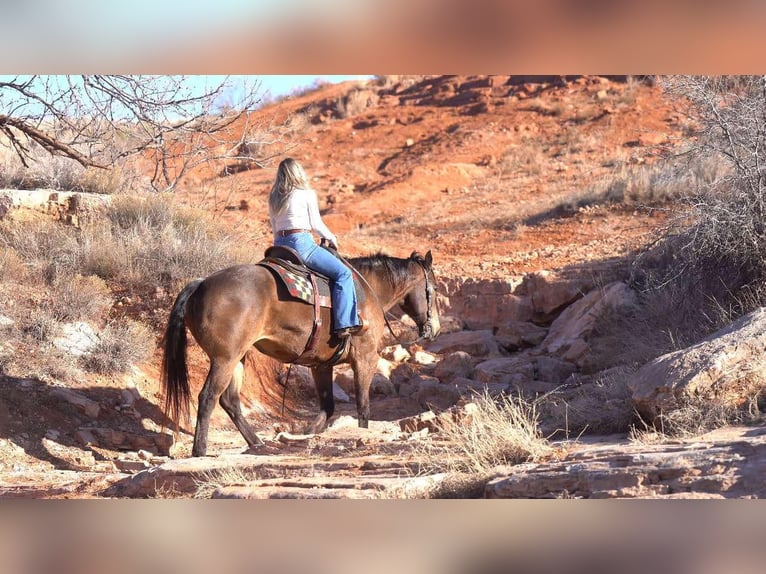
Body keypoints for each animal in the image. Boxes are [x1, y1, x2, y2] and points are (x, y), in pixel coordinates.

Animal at [161, 249, 441, 456]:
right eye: (435, 290)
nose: (434, 328)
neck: (368, 290)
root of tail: (200, 285)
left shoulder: (321, 365)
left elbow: (327, 407)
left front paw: (306, 436)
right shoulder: (365, 357)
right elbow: (363, 408)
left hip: (237, 358)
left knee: (229, 400)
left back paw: (258, 444)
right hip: (224, 359)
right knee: (208, 397)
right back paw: (200, 450)